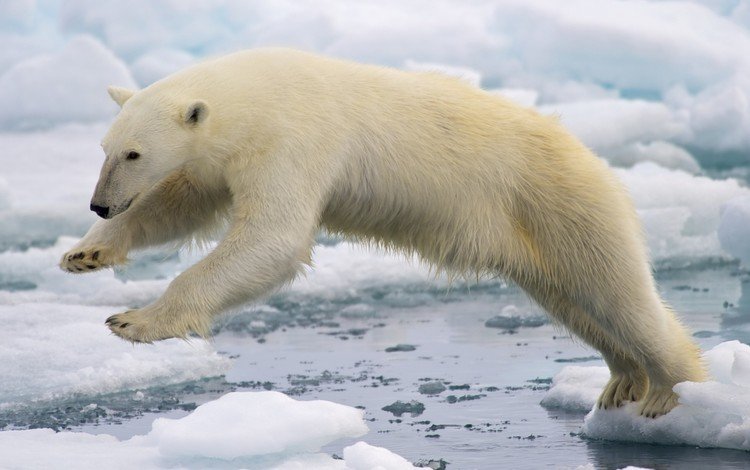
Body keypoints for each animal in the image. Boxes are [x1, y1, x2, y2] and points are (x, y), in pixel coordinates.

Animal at [58, 46, 704, 414]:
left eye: (134, 153)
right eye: (105, 148)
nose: (99, 204)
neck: (254, 95)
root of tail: (591, 157)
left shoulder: (294, 139)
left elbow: (273, 237)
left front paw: (134, 321)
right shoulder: (225, 157)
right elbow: (183, 203)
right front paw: (85, 254)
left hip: (561, 203)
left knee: (617, 293)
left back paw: (668, 392)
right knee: (575, 302)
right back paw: (622, 380)